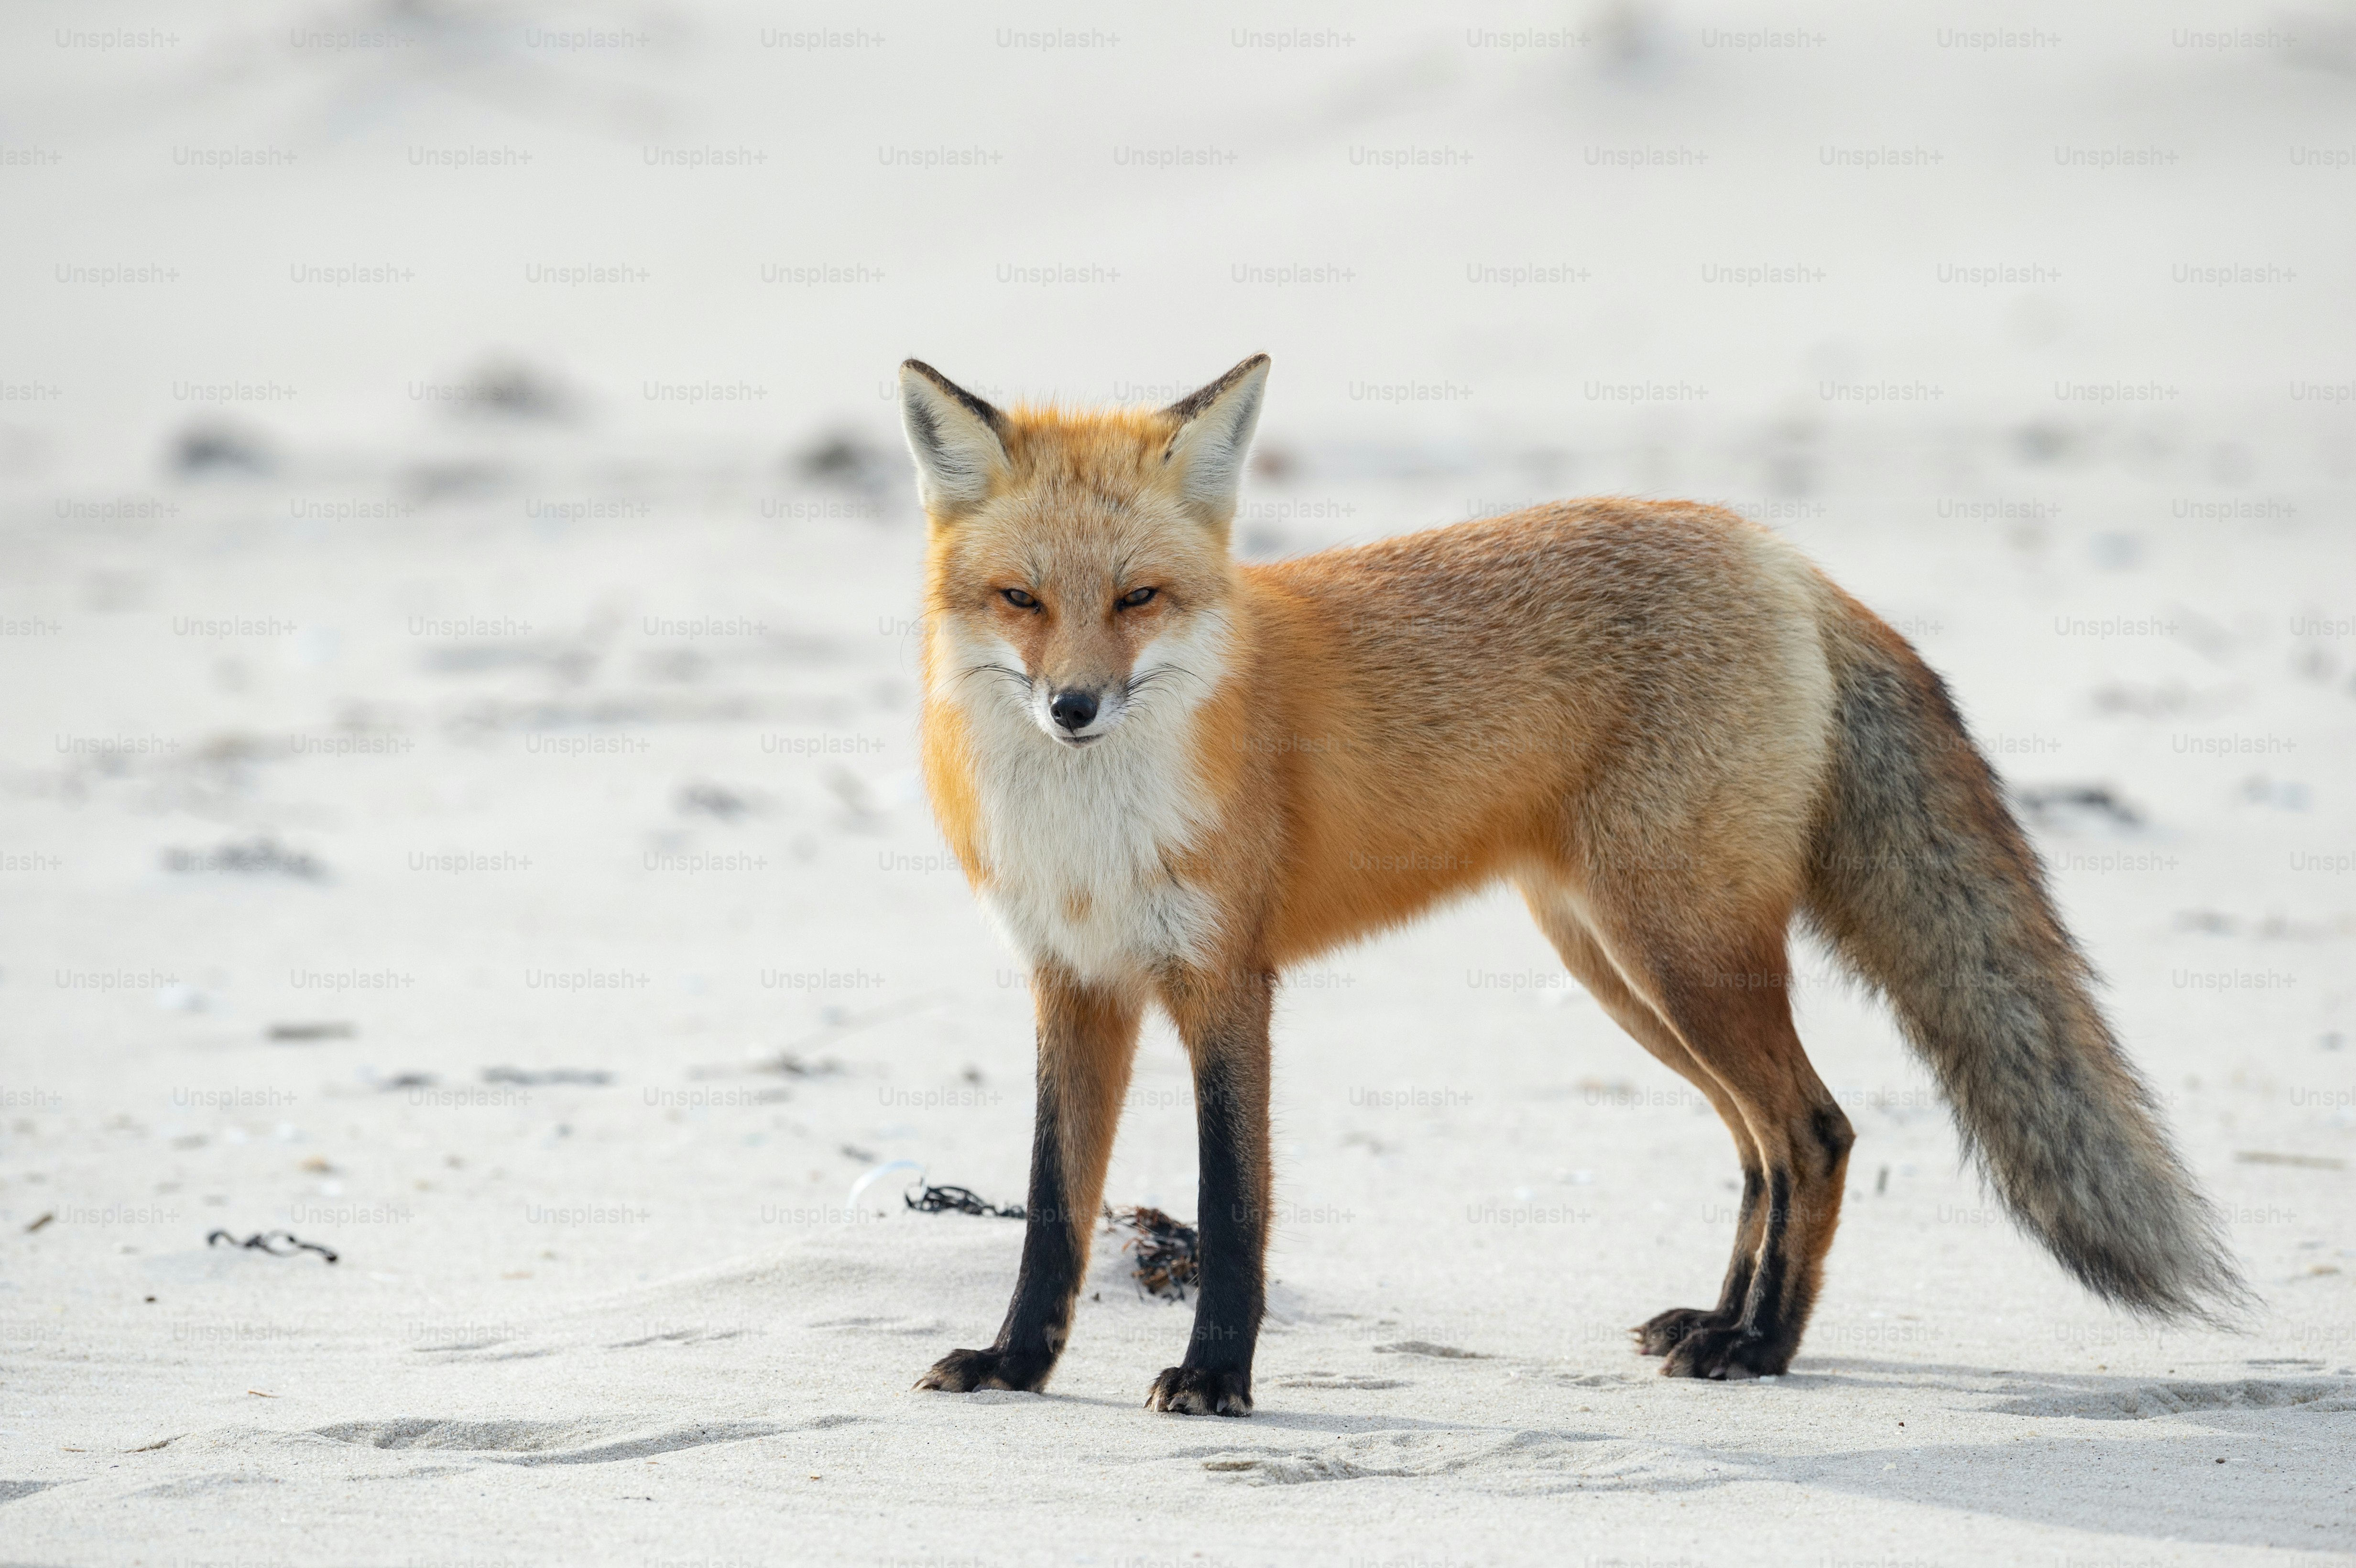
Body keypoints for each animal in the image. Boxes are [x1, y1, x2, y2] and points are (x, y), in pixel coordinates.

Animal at [897, 353, 2245, 1416]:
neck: (1091, 825)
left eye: (1139, 597)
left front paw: (1218, 1378)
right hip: (1620, 966)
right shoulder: (1075, 981)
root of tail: (1779, 553)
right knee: (1761, 1143)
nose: (1074, 706)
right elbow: (1053, 1208)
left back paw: (1762, 1347)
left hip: (1679, 953)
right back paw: (1721, 1321)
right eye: (1021, 599)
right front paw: (1016, 1365)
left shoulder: (1227, 980)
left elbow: (1231, 1206)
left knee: (1815, 1129)